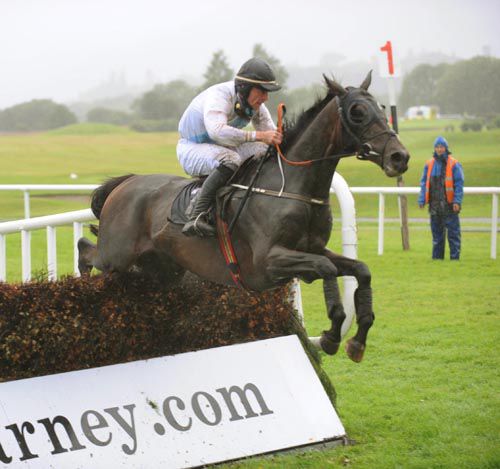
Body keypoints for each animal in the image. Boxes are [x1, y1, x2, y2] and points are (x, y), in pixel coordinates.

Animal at [78, 71, 410, 362]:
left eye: (381, 108)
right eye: (357, 112)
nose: (400, 157)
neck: (292, 187)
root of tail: (126, 183)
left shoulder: (312, 250)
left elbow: (361, 270)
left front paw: (357, 341)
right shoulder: (269, 261)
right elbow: (326, 269)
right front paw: (331, 336)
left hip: (161, 268)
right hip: (116, 255)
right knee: (86, 249)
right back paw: (82, 292)